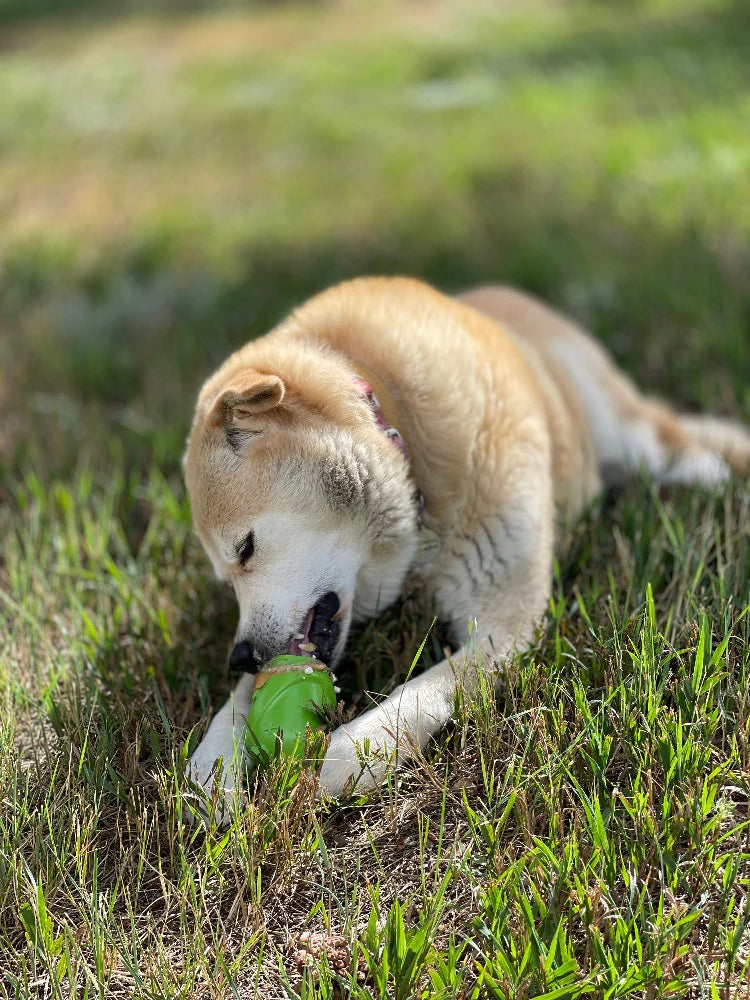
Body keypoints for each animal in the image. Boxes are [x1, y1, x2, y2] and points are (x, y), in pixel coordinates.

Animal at [184, 276, 750, 812]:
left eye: (245, 549)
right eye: (226, 579)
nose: (240, 657)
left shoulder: (506, 622)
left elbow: (428, 688)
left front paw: (356, 750)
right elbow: (235, 706)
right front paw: (215, 764)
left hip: (624, 430)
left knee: (670, 441)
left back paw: (712, 474)